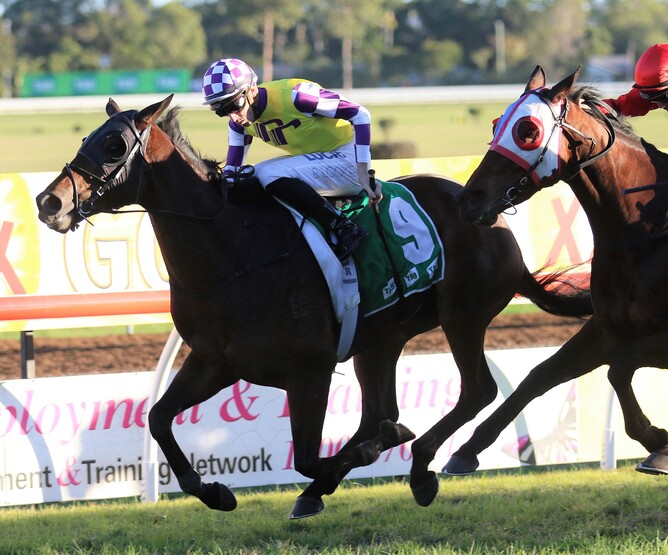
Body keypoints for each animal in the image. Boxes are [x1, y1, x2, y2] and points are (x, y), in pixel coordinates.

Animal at [34, 95, 592, 517]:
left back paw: (421, 468)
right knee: (381, 410)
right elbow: (157, 418)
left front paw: (364, 457)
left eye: (113, 145)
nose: (48, 202)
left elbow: (308, 456)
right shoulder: (215, 360)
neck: (235, 252)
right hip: (381, 338)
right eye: (86, 139)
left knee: (475, 391)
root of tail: (494, 219)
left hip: (463, 316)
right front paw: (214, 492)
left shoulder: (309, 372)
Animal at [451, 65, 668, 481]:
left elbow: (619, 369)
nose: (469, 199)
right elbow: (540, 375)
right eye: (496, 124)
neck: (644, 230)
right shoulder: (608, 328)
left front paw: (659, 442)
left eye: (527, 130)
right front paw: (467, 449)